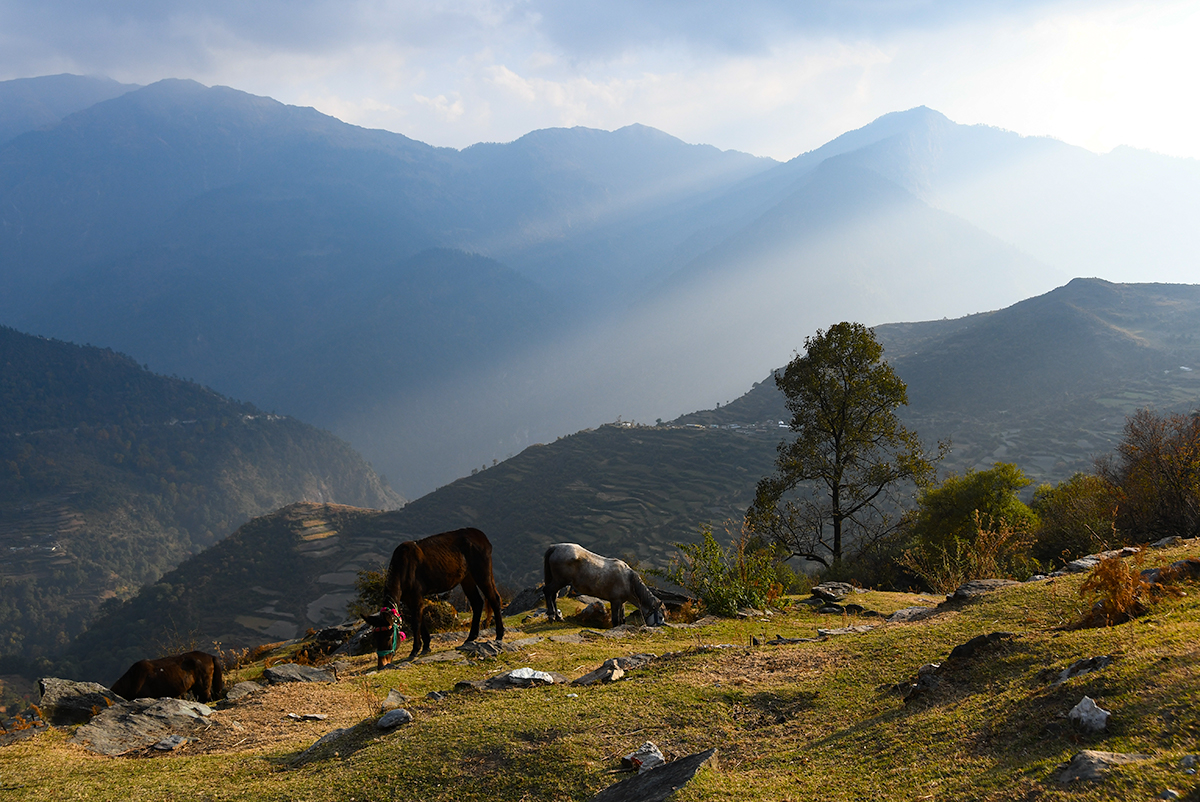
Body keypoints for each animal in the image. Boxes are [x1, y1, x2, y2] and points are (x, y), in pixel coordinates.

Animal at [376, 527, 505, 666]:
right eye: (375, 638)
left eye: (389, 636)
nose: (381, 664)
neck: (402, 567)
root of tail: (481, 535)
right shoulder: (408, 598)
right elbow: (420, 620)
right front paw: (426, 646)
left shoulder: (416, 594)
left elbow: (416, 622)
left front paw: (415, 650)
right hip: (467, 577)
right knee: (477, 602)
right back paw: (471, 637)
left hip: (481, 572)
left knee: (494, 599)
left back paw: (499, 635)